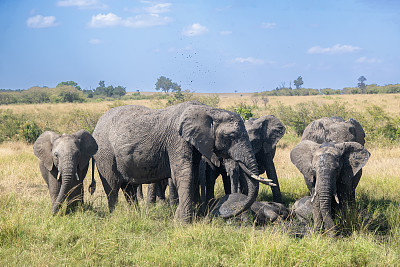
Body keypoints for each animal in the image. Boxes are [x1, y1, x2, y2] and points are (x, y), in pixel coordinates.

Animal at [92, 101, 270, 223]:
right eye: (231, 136)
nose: (227, 214)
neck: (209, 110)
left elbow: (194, 174)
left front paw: (185, 217)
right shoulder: (177, 140)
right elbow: (185, 174)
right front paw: (184, 223)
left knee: (128, 189)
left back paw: (134, 215)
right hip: (104, 154)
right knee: (112, 187)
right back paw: (115, 217)